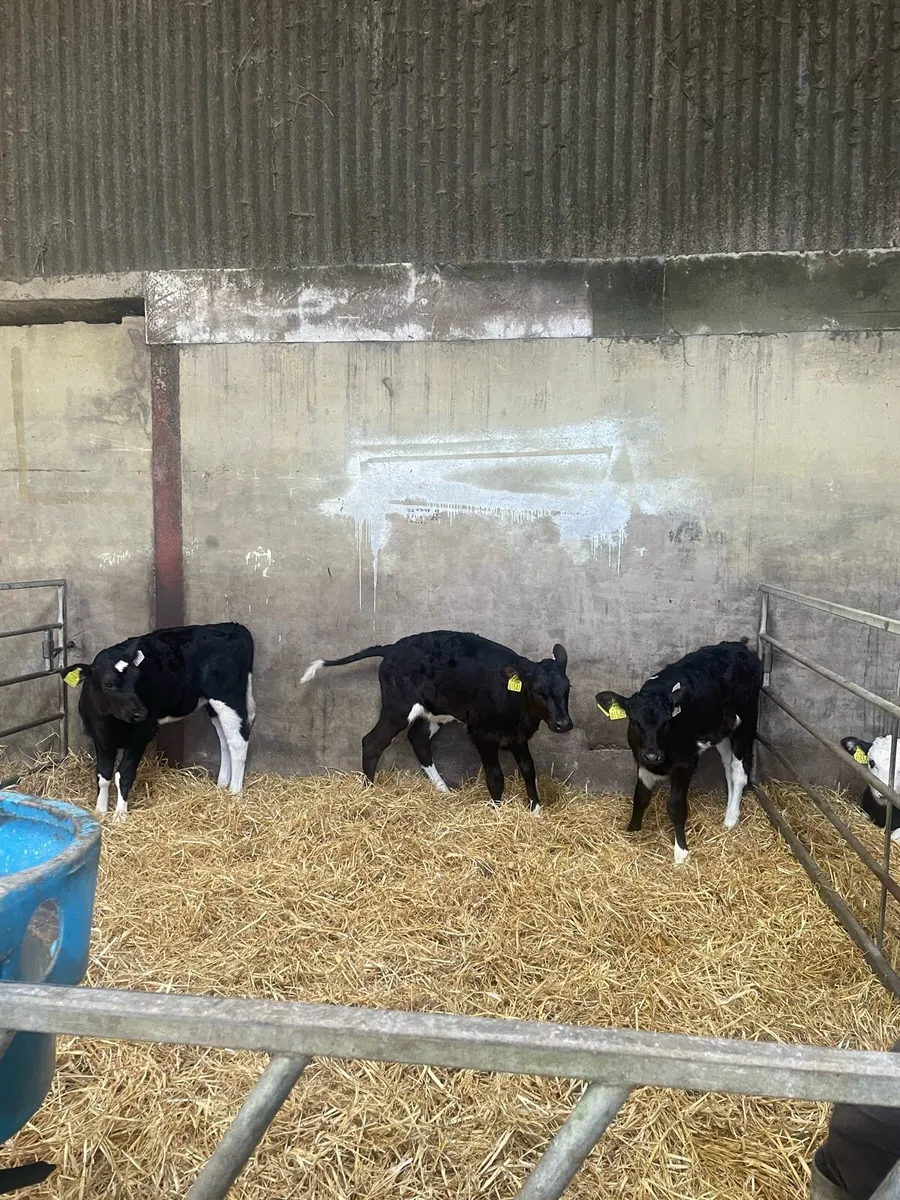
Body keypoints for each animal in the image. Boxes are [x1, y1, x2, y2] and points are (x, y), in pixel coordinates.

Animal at [63, 623, 255, 821]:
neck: (111, 720)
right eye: (109, 684)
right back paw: (221, 786)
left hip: (228, 696)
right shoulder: (100, 735)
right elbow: (103, 774)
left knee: (238, 741)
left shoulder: (141, 734)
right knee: (225, 740)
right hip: (212, 704)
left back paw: (234, 794)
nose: (141, 712)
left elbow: (124, 774)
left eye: (136, 679)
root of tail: (233, 626)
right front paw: (100, 811)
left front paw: (120, 815)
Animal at [301, 631, 573, 812]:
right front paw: (497, 812)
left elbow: (529, 769)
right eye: (538, 691)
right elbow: (495, 776)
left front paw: (536, 810)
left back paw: (443, 789)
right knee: (372, 742)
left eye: (567, 688)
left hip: (434, 710)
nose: (563, 723)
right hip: (397, 706)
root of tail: (392, 648)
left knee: (418, 738)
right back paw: (368, 791)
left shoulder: (518, 736)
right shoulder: (482, 734)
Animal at [595, 638, 763, 863]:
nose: (653, 755)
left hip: (746, 721)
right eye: (635, 722)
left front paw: (681, 853)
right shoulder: (642, 762)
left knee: (739, 771)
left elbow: (675, 806)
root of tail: (738, 645)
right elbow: (640, 797)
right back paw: (728, 808)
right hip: (720, 730)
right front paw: (632, 831)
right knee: (728, 768)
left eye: (667, 723)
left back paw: (730, 819)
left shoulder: (684, 762)